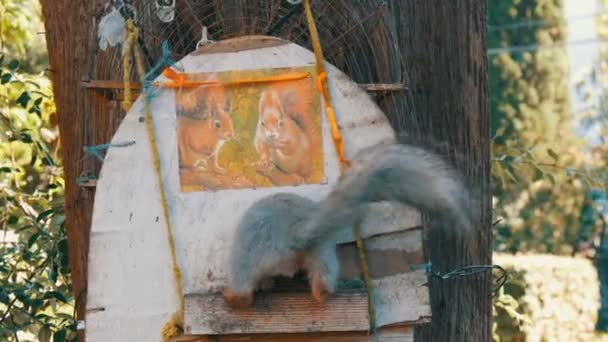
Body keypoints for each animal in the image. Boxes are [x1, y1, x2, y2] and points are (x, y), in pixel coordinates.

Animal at [221, 138, 478, 308]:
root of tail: (293, 230)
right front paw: (268, 285)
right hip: (321, 252)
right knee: (323, 280)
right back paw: (320, 294)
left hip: (247, 255)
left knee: (244, 285)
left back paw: (233, 297)